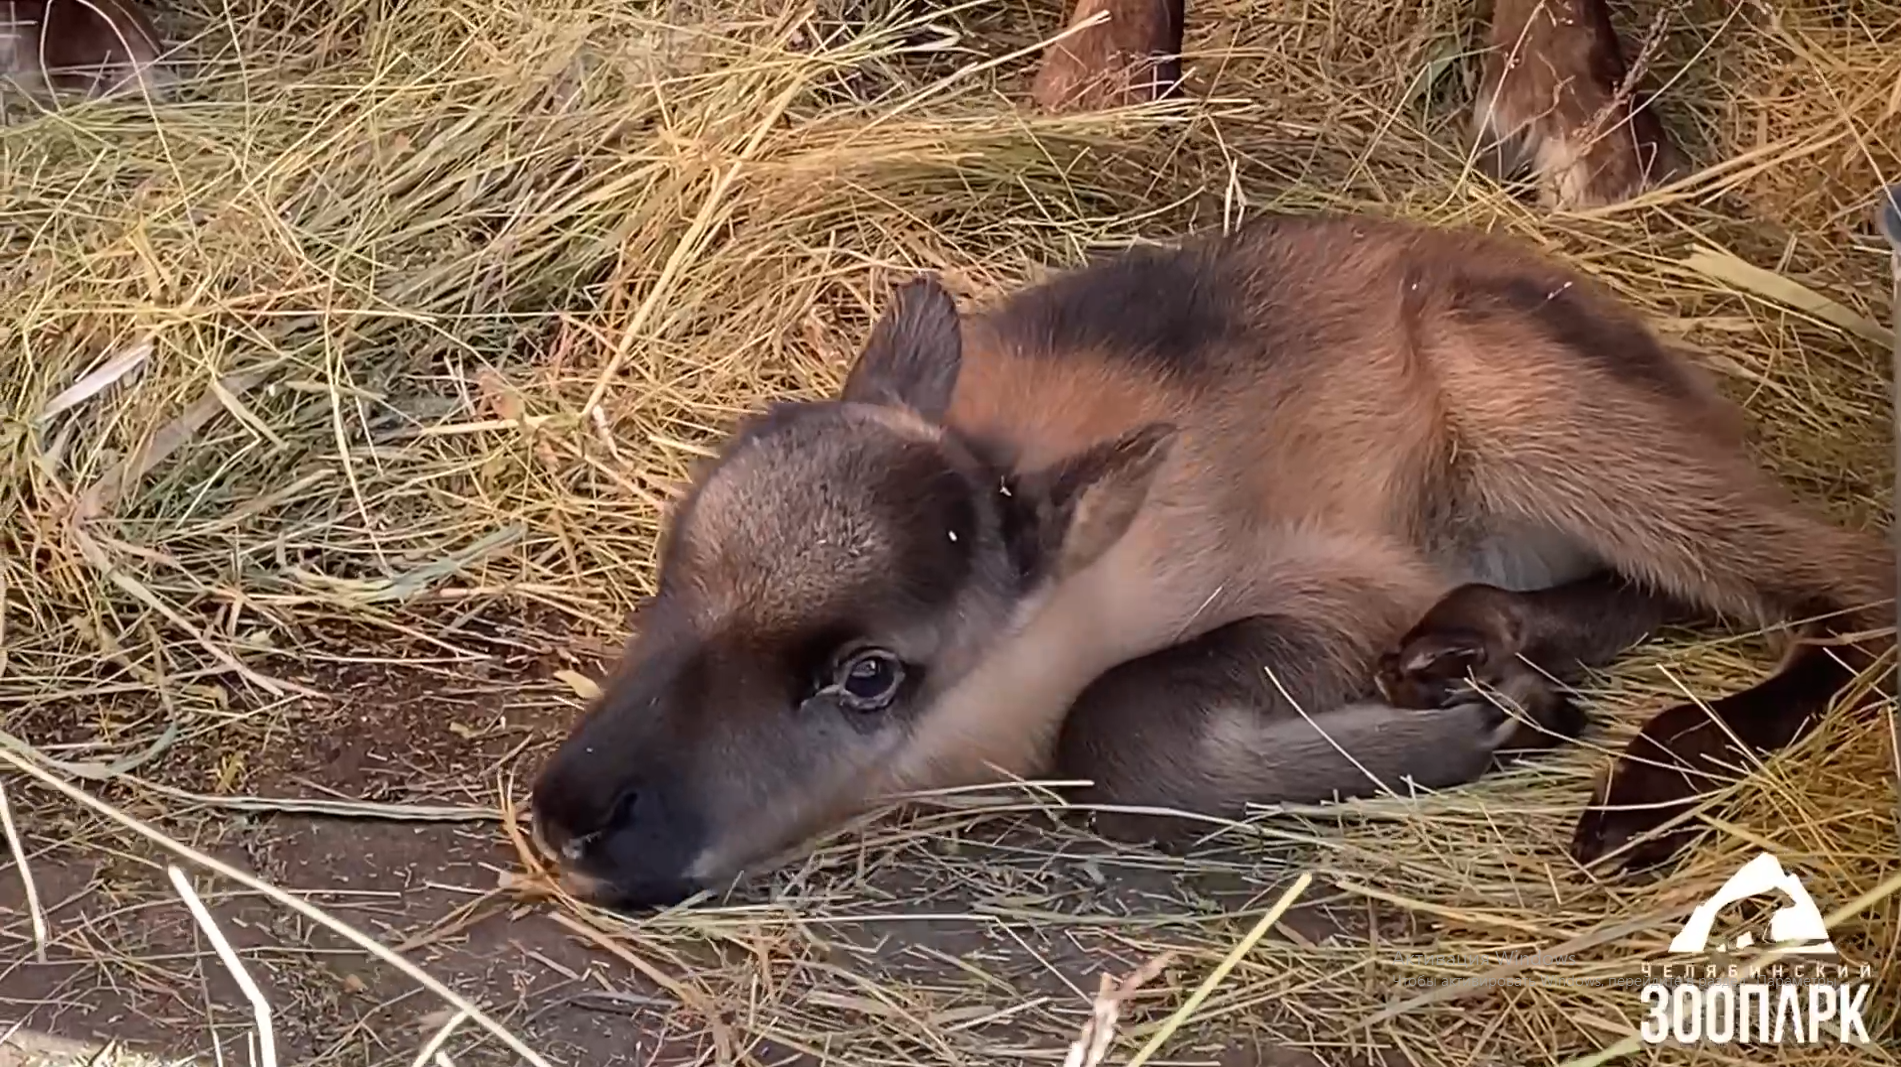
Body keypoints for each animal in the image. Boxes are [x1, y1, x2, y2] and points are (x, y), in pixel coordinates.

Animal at [528, 213, 1893, 905]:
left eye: (868, 673)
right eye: (673, 564)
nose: (576, 818)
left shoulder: (1336, 585)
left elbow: (1115, 726)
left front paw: (1479, 729)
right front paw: (1483, 691)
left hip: (1546, 421)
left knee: (1847, 588)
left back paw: (1632, 789)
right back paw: (1486, 652)